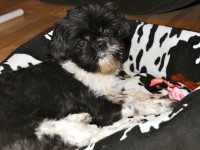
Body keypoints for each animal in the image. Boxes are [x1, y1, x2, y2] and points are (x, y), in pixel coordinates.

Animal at [0, 2, 173, 149]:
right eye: (81, 43)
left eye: (108, 31)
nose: (101, 43)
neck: (89, 70)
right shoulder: (102, 109)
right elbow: (131, 106)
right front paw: (155, 105)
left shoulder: (110, 93)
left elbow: (130, 95)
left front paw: (153, 96)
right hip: (46, 130)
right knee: (96, 135)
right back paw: (129, 123)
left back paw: (80, 117)